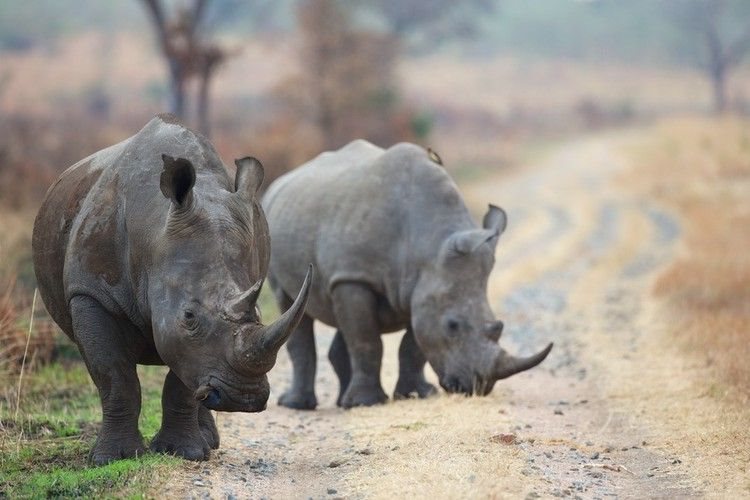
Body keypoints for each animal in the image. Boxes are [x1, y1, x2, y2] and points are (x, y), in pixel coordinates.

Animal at [32, 114, 311, 464]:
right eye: (189, 316)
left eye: (260, 312)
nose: (243, 398)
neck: (153, 232)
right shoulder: (91, 293)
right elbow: (115, 376)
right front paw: (113, 458)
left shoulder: (190, 342)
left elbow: (182, 380)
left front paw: (185, 453)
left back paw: (207, 443)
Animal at [262, 140, 552, 409]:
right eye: (452, 325)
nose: (477, 386)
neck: (428, 244)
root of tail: (280, 182)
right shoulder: (355, 277)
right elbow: (367, 342)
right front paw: (367, 403)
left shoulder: (422, 287)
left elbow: (412, 346)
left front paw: (417, 394)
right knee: (290, 304)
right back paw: (300, 404)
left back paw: (343, 401)